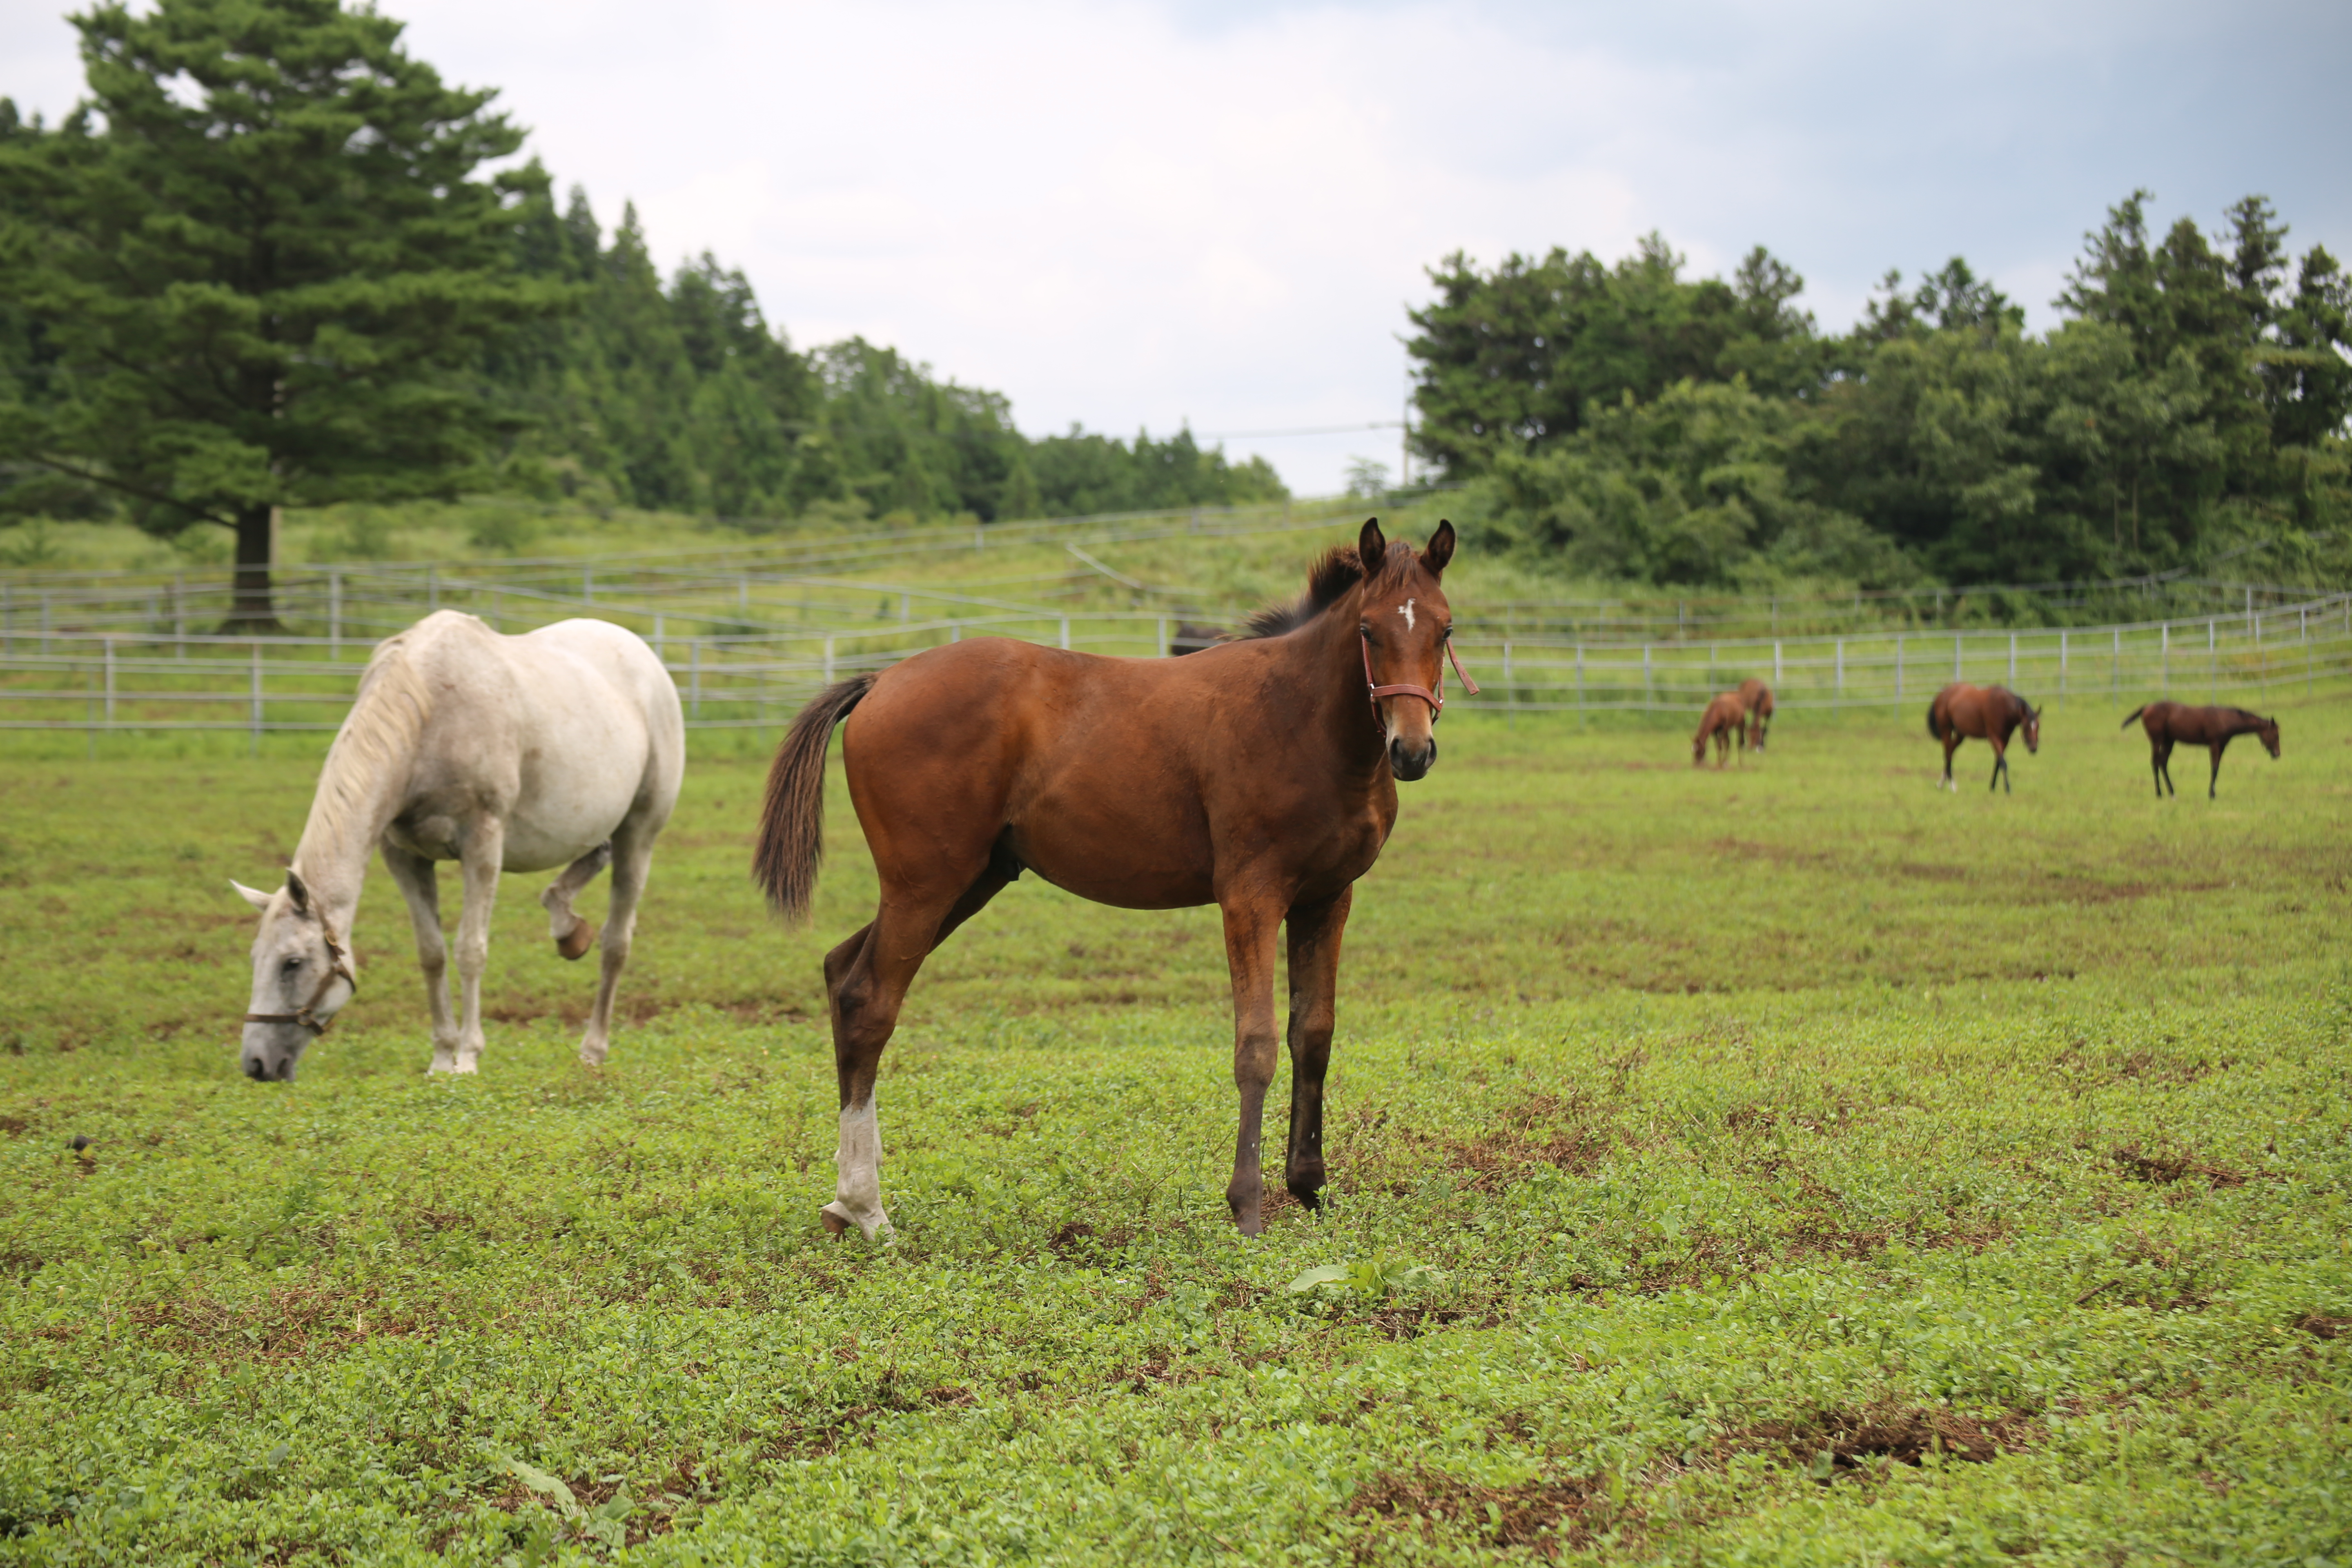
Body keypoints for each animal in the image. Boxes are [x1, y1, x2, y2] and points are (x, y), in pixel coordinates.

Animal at [230, 611, 686, 1081]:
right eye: (255, 958)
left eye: (292, 963)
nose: (258, 1063)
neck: (430, 717)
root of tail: (644, 656)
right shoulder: (404, 857)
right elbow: (432, 954)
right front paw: (440, 1058)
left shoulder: (482, 845)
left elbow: (470, 950)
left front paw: (468, 1057)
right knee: (590, 861)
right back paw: (567, 927)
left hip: (640, 832)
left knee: (616, 942)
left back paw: (593, 1049)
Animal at [762, 522, 1477, 1241]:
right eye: (1367, 630)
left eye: (1444, 628)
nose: (1412, 751)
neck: (1300, 716)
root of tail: (882, 680)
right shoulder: (1251, 897)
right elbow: (1256, 1044)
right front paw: (1247, 1207)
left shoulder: (1327, 899)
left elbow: (1314, 1035)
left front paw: (1310, 1188)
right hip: (925, 885)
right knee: (870, 1000)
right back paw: (867, 1208)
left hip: (968, 882)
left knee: (840, 969)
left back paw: (845, 1195)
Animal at [1740, 677, 1768, 752]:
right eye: (1748, 737)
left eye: (1756, 738)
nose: (1750, 748)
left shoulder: (1768, 716)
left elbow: (1764, 729)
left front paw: (1762, 745)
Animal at [1929, 682, 2041, 790]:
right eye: (2026, 726)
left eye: (2038, 726)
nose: (2034, 748)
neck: (2003, 707)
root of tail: (1941, 694)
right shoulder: (1994, 738)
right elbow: (2003, 763)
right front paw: (2008, 788)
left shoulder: (2005, 740)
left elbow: (1998, 763)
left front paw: (1992, 787)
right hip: (1946, 731)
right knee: (1947, 753)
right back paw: (1951, 785)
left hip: (1961, 734)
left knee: (1950, 753)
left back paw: (1942, 783)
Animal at [2117, 700, 2276, 799]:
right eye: (2275, 734)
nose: (2277, 754)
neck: (2225, 719)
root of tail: (2147, 707)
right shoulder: (2214, 745)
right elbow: (2214, 768)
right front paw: (2211, 795)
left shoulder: (2222, 746)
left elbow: (2217, 768)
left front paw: (2213, 793)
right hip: (2157, 740)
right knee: (2155, 762)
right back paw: (2160, 793)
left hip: (2169, 742)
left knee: (2163, 762)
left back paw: (2172, 792)